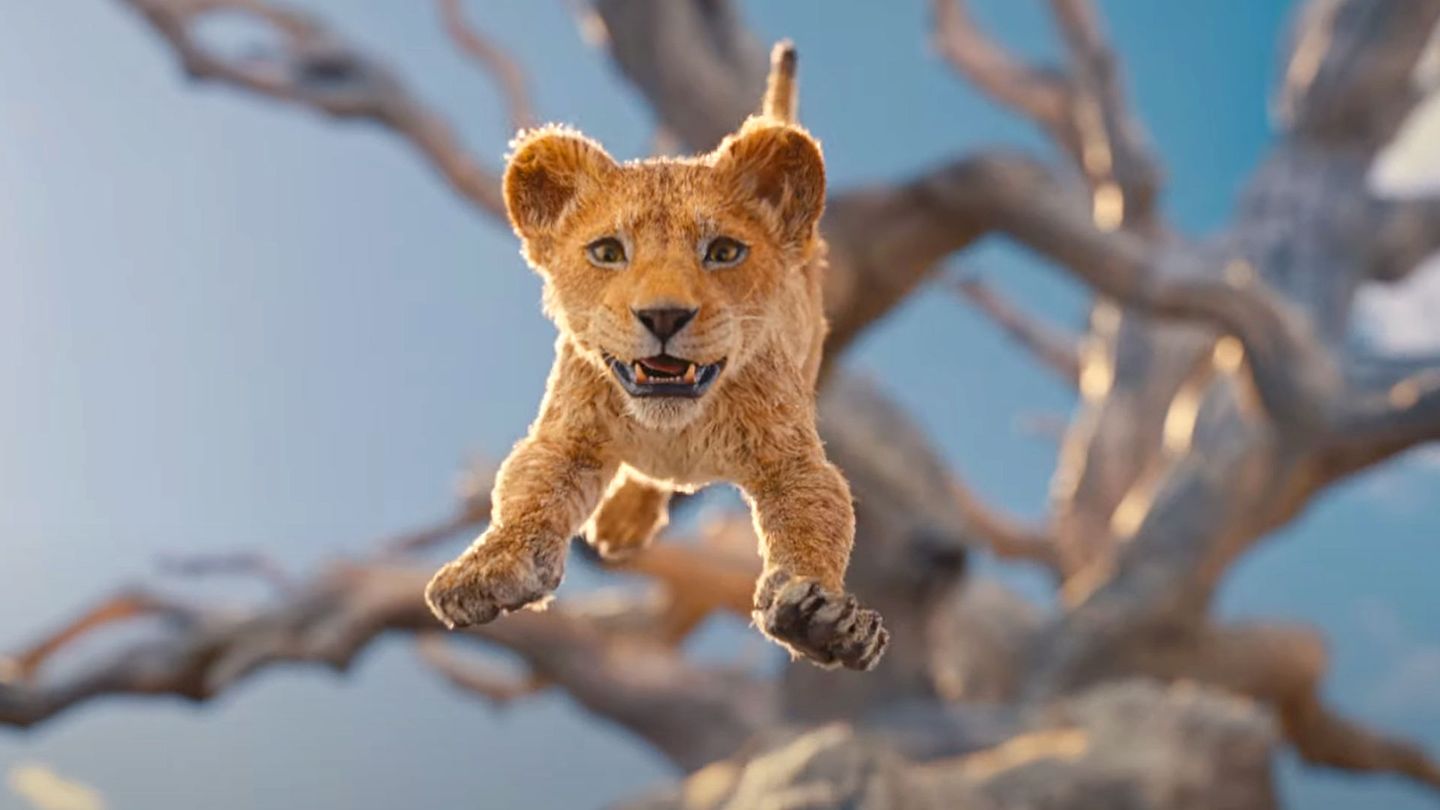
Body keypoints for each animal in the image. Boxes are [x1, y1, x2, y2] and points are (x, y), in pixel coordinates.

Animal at [425, 42, 888, 670]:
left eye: (723, 251)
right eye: (607, 252)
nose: (664, 317)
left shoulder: (791, 458)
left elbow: (815, 520)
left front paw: (821, 618)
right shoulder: (566, 435)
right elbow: (527, 495)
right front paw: (485, 569)